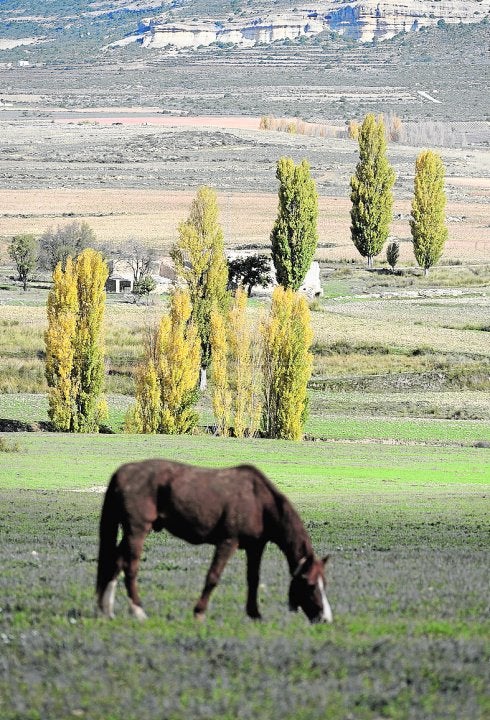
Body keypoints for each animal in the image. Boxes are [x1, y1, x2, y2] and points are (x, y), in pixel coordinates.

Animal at [96, 459, 333, 624]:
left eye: (325, 584)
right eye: (310, 584)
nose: (325, 619)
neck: (259, 501)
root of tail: (121, 472)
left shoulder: (255, 547)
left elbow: (253, 579)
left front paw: (254, 614)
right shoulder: (228, 542)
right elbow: (213, 577)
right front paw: (199, 613)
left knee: (115, 563)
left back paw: (106, 610)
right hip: (137, 531)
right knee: (130, 567)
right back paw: (138, 610)